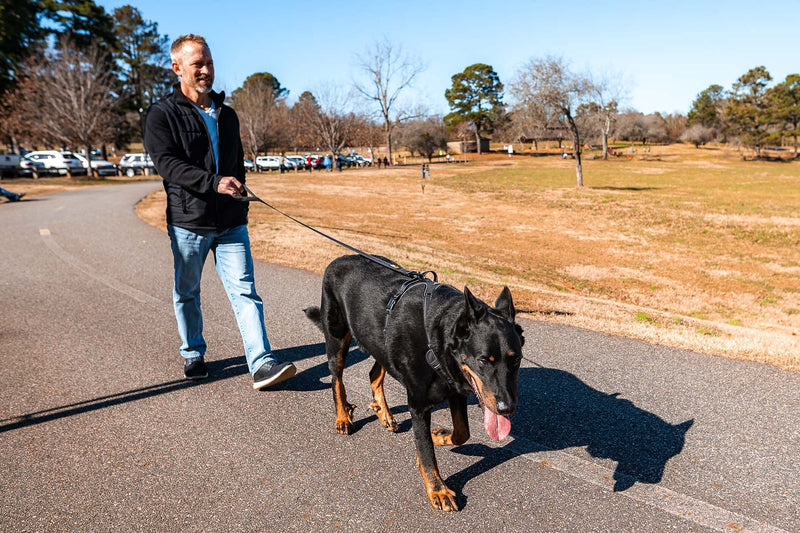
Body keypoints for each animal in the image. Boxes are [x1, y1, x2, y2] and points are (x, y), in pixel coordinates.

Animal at [304, 254, 520, 512]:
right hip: (337, 338)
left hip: (380, 344)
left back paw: (383, 412)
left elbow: (462, 433)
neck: (438, 336)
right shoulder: (418, 404)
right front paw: (438, 489)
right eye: (483, 360)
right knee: (337, 380)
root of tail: (341, 257)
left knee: (374, 374)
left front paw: (439, 436)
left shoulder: (455, 390)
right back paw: (343, 416)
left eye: (516, 360)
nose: (507, 408)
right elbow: (426, 452)